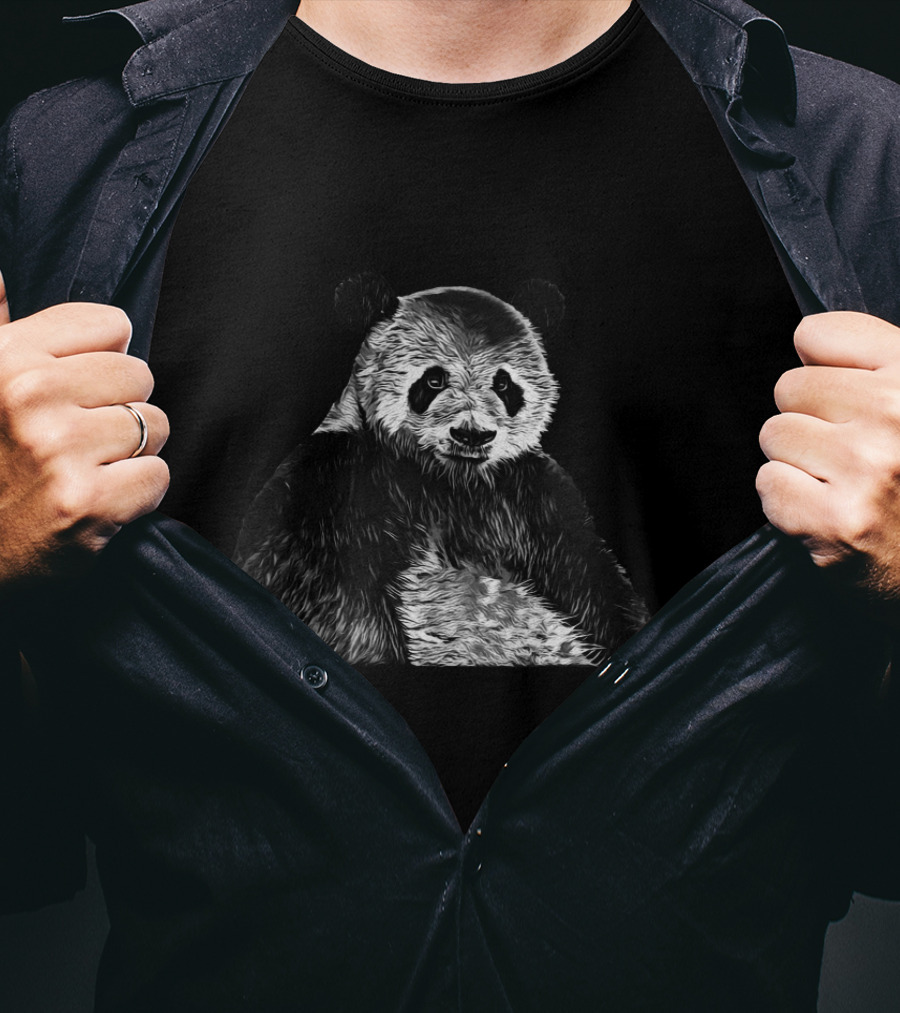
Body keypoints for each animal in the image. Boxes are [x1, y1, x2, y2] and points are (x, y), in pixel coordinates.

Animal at [234, 275, 648, 667]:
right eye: (433, 380)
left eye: (503, 384)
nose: (472, 434)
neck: (446, 478)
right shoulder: (333, 484)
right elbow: (336, 599)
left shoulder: (529, 494)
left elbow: (592, 578)